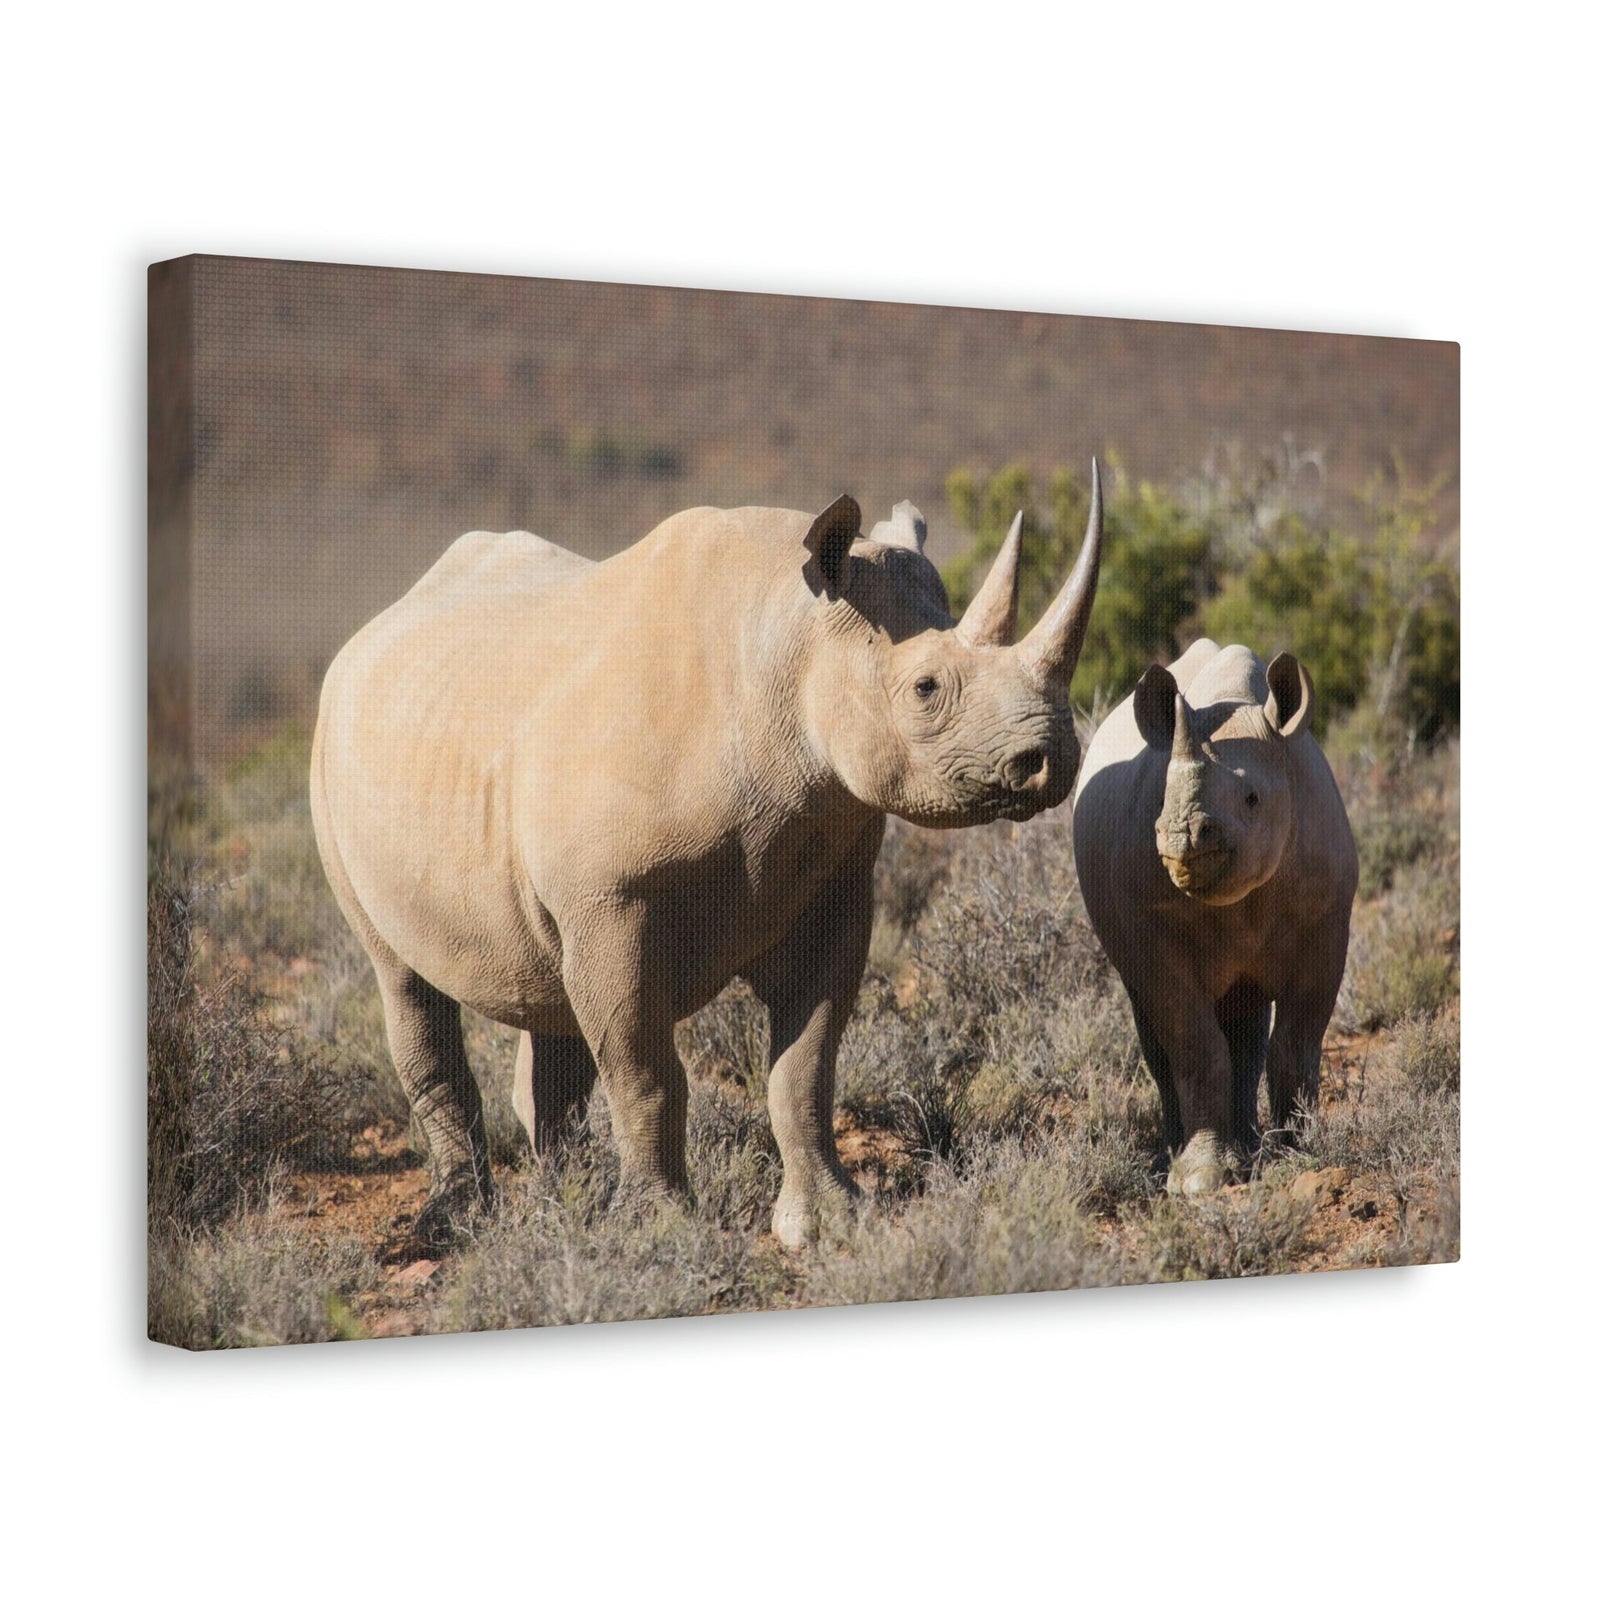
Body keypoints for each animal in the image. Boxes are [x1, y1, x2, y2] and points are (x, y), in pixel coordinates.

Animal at [311, 466, 1103, 1246]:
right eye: (926, 689)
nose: (1052, 759)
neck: (789, 644)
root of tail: (374, 627)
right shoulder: (612, 900)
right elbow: (646, 1072)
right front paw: (658, 1230)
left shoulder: (833, 880)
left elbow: (806, 1064)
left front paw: (826, 1222)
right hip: (335, 756)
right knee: (402, 977)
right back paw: (458, 1223)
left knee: (546, 993)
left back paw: (563, 1205)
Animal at [1071, 639, 1358, 1194]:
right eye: (1162, 798)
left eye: (1252, 799)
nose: (1180, 834)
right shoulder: (1150, 933)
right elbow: (1195, 1046)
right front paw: (1202, 1181)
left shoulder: (1327, 923)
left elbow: (1296, 1042)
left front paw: (1299, 1154)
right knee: (1160, 1031)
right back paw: (1177, 1161)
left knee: (1247, 1021)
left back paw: (1250, 1151)